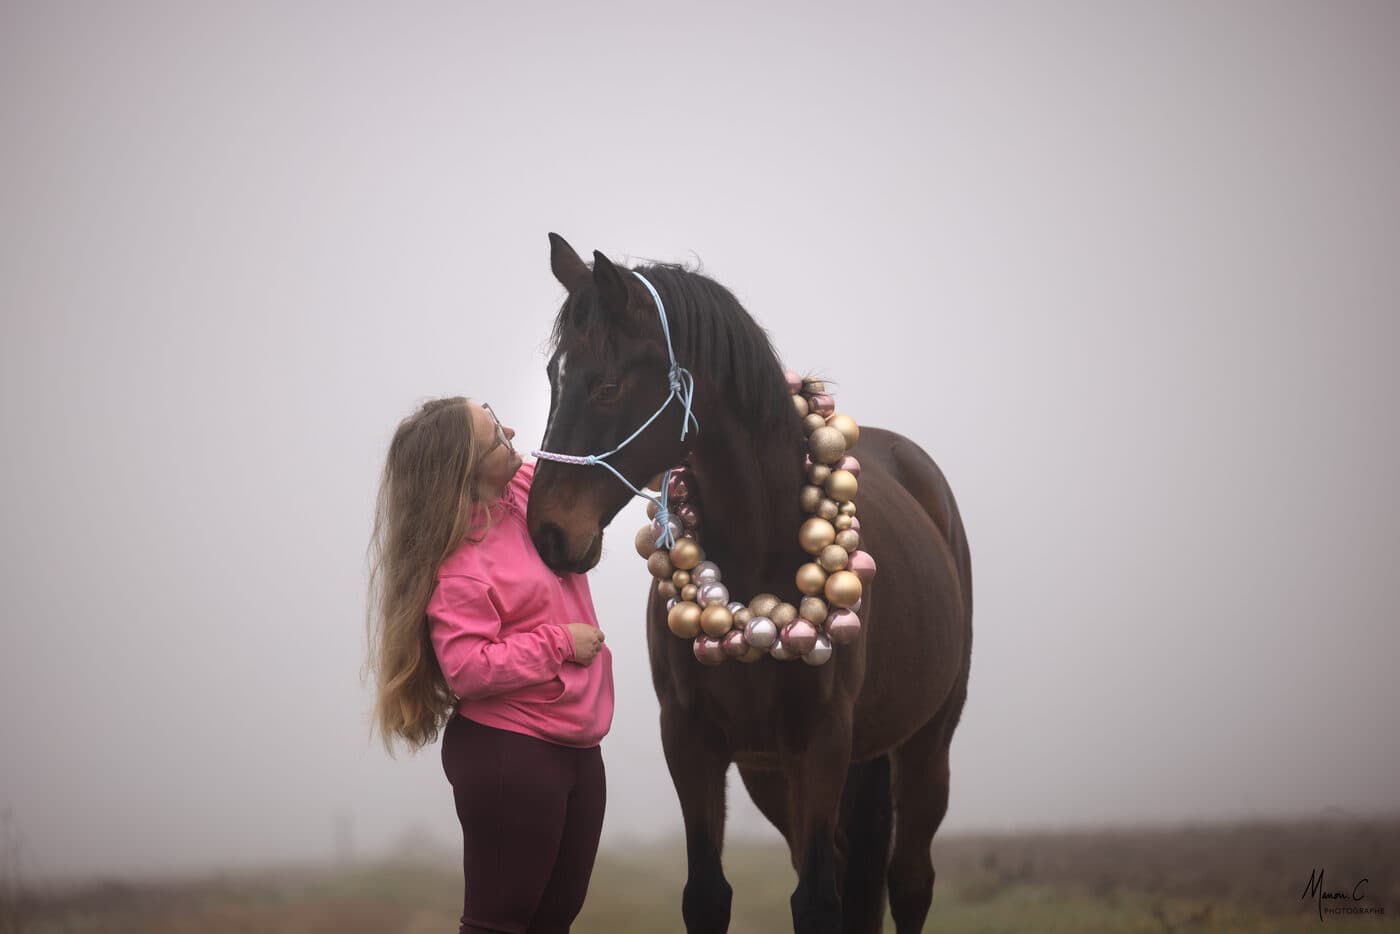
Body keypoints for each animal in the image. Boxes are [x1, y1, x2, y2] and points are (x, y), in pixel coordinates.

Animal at [525, 234, 973, 934]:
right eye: (553, 376)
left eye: (607, 386)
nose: (545, 532)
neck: (757, 560)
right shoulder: (691, 741)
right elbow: (708, 894)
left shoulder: (822, 741)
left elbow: (816, 902)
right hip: (777, 774)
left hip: (925, 743)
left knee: (909, 880)